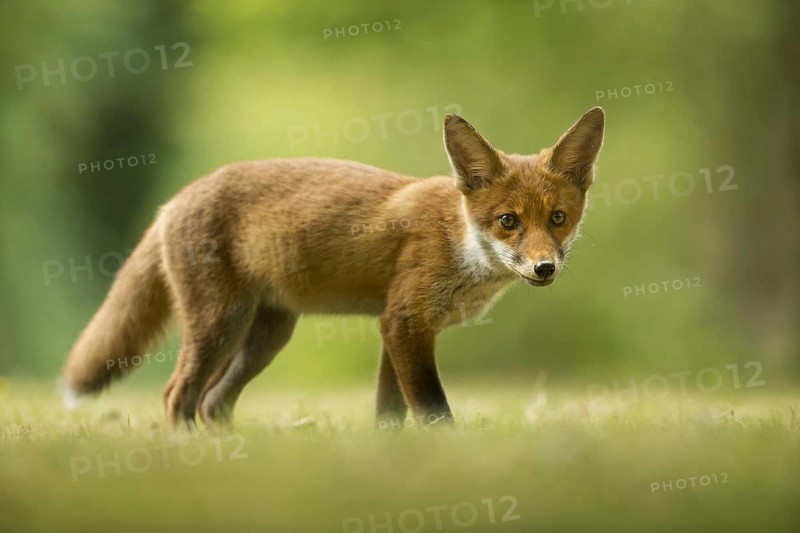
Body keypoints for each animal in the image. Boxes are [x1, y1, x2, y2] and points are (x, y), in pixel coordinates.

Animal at [62, 107, 605, 428]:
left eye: (558, 218)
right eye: (508, 221)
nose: (544, 268)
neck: (461, 242)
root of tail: (175, 199)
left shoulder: (399, 329)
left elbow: (389, 416)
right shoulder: (405, 322)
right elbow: (433, 411)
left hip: (265, 337)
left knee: (213, 403)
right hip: (220, 325)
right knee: (178, 396)